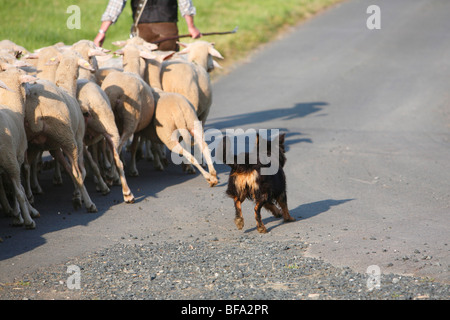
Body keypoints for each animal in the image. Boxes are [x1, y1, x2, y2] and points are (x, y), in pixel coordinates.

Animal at [24, 50, 97, 212]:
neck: (67, 88)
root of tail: (35, 98)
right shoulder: (78, 139)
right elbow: (78, 171)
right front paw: (77, 195)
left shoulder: (54, 147)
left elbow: (67, 168)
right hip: (68, 138)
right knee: (77, 172)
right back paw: (89, 203)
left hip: (29, 142)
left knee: (25, 167)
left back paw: (30, 197)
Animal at [99, 43, 156, 176]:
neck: (132, 70)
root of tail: (116, 93)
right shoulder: (138, 127)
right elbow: (134, 147)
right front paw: (133, 169)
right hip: (131, 120)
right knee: (118, 146)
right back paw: (114, 175)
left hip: (107, 119)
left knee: (108, 145)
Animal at [135, 48, 218, 186]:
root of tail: (178, 110)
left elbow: (143, 147)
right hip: (193, 123)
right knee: (204, 146)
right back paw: (212, 173)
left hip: (169, 137)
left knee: (189, 154)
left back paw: (207, 177)